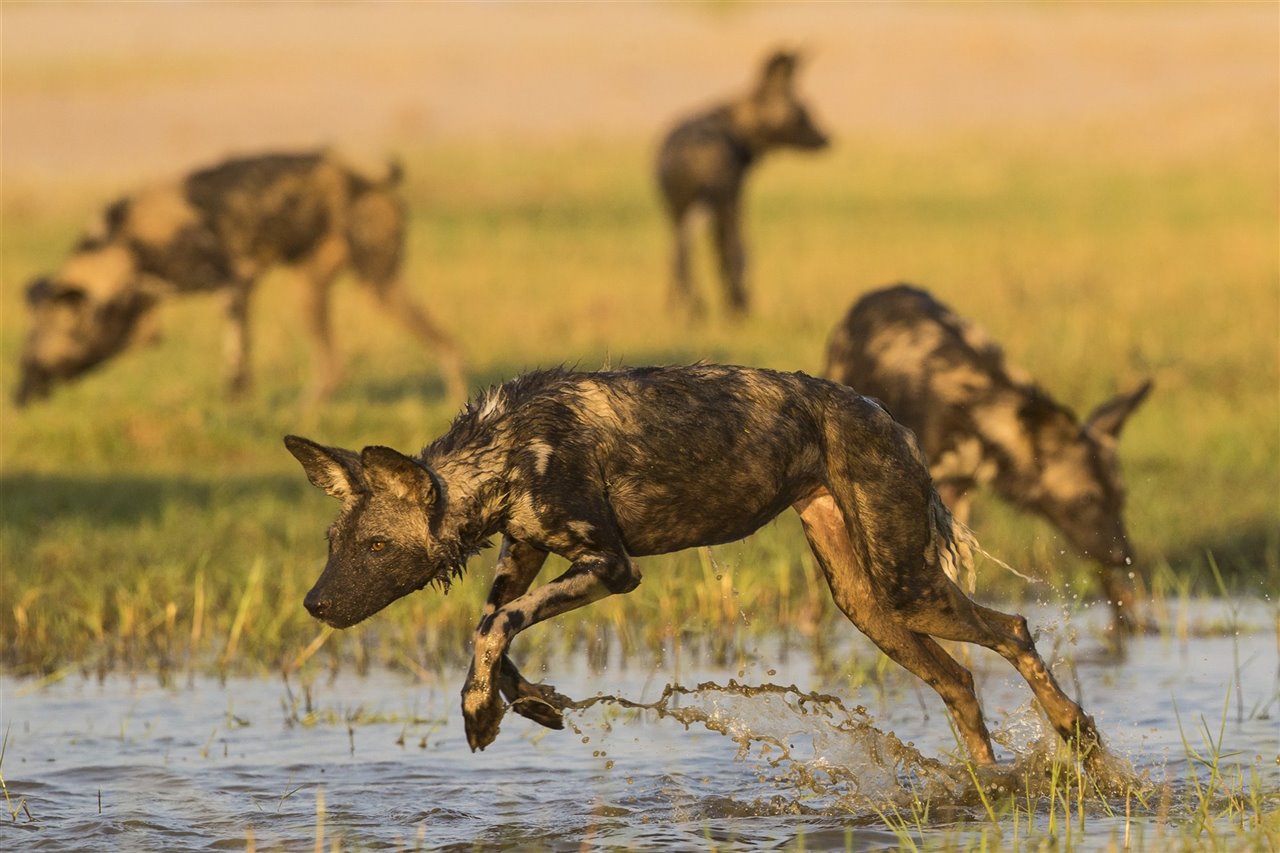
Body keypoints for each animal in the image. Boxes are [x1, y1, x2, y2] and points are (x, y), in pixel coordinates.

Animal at [15, 148, 468, 404]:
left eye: (37, 360)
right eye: (23, 360)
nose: (18, 399)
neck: (123, 247)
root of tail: (368, 176)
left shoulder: (230, 284)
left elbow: (236, 363)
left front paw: (236, 408)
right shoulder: (151, 310)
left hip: (377, 287)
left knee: (445, 346)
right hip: (315, 295)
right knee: (340, 364)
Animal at [285, 361, 1105, 768]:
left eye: (376, 548)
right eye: (333, 544)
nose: (315, 605)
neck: (502, 451)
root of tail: (883, 412)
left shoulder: (612, 567)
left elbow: (497, 625)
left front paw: (484, 708)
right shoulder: (526, 553)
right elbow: (490, 627)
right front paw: (521, 698)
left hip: (906, 587)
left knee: (1014, 628)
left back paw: (1075, 735)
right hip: (866, 603)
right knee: (961, 677)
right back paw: (986, 784)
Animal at [660, 49, 829, 317]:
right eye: (804, 111)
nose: (827, 138)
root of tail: (691, 150)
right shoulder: (733, 197)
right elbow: (737, 249)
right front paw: (737, 305)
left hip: (679, 208)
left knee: (677, 253)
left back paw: (686, 309)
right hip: (719, 203)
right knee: (730, 249)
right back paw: (728, 308)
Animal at [824, 281, 1157, 635]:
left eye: (1120, 499)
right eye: (1087, 500)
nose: (1124, 555)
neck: (976, 409)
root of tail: (882, 291)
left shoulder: (958, 497)